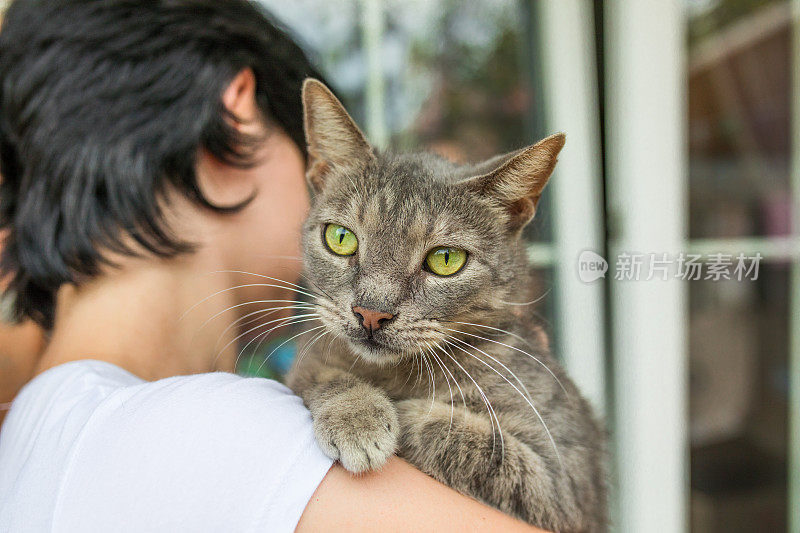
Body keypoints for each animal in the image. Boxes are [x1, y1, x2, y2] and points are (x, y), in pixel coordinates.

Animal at [288, 77, 608, 528]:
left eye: (445, 259)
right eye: (341, 238)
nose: (371, 312)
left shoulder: (562, 483)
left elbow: (461, 436)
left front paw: (397, 413)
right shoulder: (312, 355)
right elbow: (322, 372)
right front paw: (357, 414)